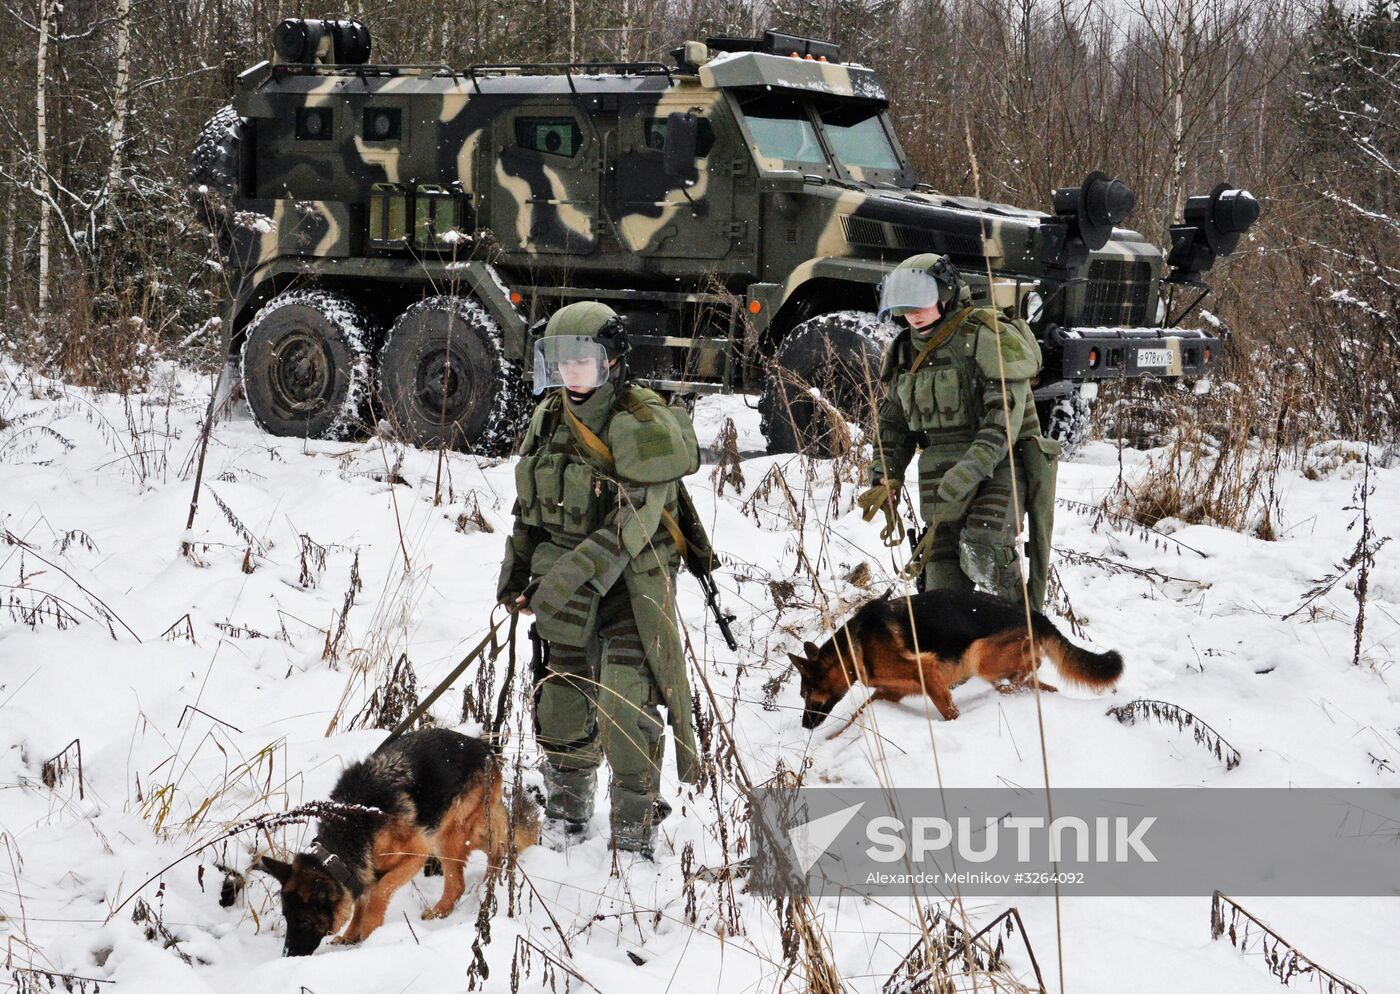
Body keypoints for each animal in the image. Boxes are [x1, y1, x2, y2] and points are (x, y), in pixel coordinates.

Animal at [252, 733, 534, 957]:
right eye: (286, 918)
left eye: (303, 922)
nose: (287, 955)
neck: (352, 829)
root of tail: (484, 748)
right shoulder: (365, 869)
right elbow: (361, 899)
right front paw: (351, 934)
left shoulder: (416, 853)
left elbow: (379, 891)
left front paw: (369, 932)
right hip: (456, 829)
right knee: (500, 844)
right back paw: (494, 877)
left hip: (447, 836)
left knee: (462, 879)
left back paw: (450, 905)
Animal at [789, 590, 1125, 733]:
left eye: (806, 694)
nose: (804, 726)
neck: (853, 647)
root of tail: (1034, 614)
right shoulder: (890, 691)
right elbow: (858, 712)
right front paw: (836, 736)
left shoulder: (928, 672)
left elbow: (948, 711)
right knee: (1038, 678)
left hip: (979, 655)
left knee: (1034, 664)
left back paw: (1010, 688)